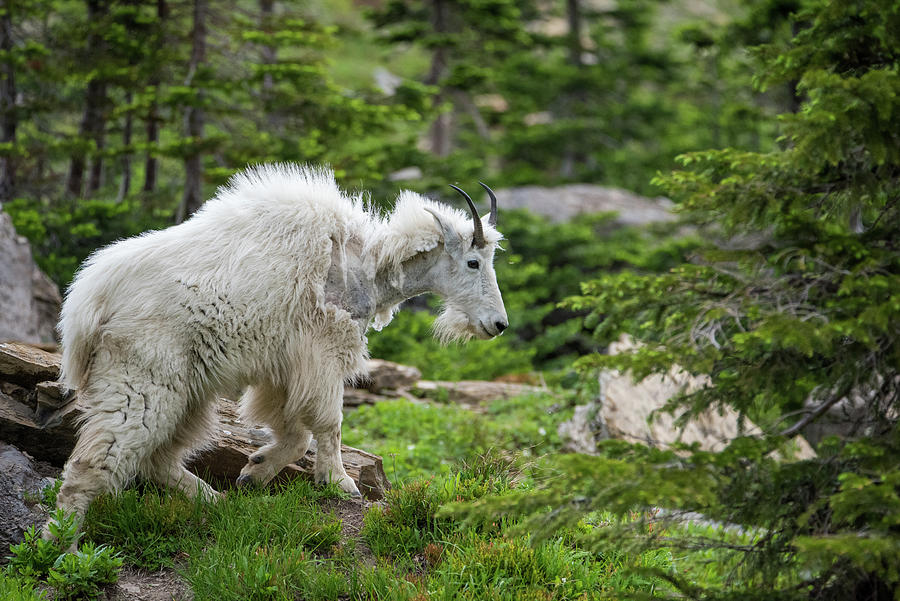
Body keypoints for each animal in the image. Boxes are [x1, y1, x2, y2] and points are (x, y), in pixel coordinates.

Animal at [47, 164, 507, 532]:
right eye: (473, 262)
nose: (498, 325)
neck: (364, 265)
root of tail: (85, 305)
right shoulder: (322, 352)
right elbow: (328, 423)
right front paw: (340, 482)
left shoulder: (283, 369)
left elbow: (295, 433)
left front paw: (254, 472)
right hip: (142, 379)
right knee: (95, 462)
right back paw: (62, 549)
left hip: (189, 390)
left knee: (156, 458)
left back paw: (215, 501)